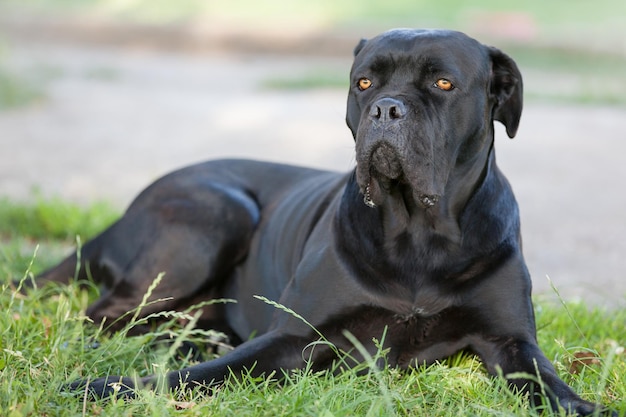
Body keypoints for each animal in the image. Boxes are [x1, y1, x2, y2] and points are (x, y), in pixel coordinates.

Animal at [35, 28, 608, 412]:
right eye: (364, 82)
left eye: (444, 83)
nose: (386, 108)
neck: (419, 236)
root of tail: (127, 208)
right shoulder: (295, 337)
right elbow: (197, 375)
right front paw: (104, 388)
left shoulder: (511, 341)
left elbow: (549, 384)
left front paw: (582, 407)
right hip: (218, 213)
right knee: (103, 317)